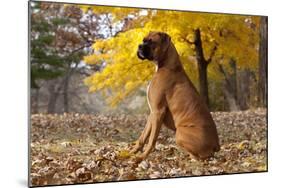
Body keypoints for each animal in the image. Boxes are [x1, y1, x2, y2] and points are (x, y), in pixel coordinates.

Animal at [130, 30, 220, 160]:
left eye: (151, 42)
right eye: (144, 40)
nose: (139, 46)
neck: (166, 65)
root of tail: (216, 145)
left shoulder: (158, 111)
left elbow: (152, 139)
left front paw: (142, 157)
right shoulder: (152, 113)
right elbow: (143, 136)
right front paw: (131, 152)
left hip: (179, 133)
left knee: (198, 157)